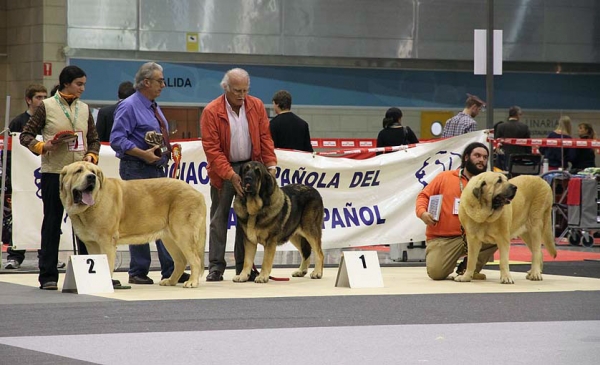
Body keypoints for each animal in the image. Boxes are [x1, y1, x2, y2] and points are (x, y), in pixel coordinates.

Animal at [59, 161, 206, 286]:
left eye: (93, 171)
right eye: (78, 171)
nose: (91, 177)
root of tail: (197, 193)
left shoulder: (107, 241)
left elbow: (108, 264)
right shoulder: (92, 243)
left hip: (183, 234)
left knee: (195, 260)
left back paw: (192, 282)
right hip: (169, 238)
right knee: (181, 261)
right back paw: (170, 281)